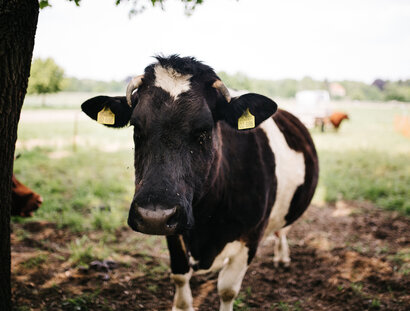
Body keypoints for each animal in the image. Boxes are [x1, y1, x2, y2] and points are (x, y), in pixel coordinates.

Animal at [80, 56, 318, 311]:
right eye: (136, 126)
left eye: (205, 128)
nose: (154, 216)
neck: (206, 221)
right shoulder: (174, 232)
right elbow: (180, 277)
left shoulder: (251, 236)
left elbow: (227, 289)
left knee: (282, 230)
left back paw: (282, 258)